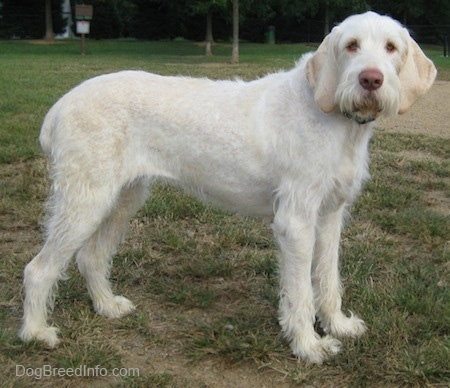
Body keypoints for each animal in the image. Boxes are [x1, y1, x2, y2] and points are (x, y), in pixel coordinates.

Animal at [18, 12, 436, 364]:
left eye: (390, 47)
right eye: (351, 45)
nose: (371, 79)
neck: (333, 118)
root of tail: (61, 105)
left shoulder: (331, 215)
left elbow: (327, 277)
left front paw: (338, 325)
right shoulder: (297, 221)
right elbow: (300, 290)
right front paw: (308, 346)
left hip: (123, 198)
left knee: (91, 256)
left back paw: (106, 307)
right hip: (85, 200)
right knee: (39, 268)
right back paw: (36, 333)